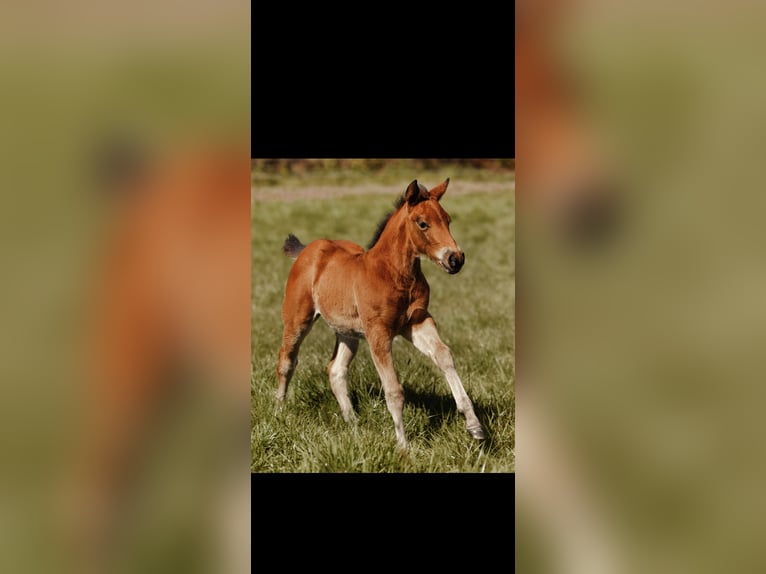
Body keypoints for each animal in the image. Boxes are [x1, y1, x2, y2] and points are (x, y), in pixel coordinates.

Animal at [276, 178, 485, 449]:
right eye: (422, 223)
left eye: (448, 220)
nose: (455, 259)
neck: (396, 274)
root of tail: (306, 250)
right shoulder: (379, 332)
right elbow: (393, 389)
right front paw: (403, 447)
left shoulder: (417, 321)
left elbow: (444, 355)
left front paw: (474, 426)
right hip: (297, 319)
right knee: (286, 361)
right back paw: (279, 413)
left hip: (348, 332)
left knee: (336, 369)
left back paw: (354, 425)